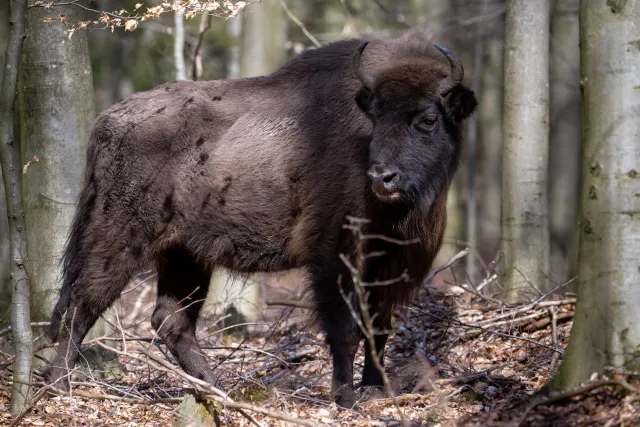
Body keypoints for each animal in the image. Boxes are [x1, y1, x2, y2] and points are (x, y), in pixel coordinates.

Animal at [46, 32, 476, 408]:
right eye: (378, 116)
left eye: (428, 119)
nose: (382, 177)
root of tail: (108, 123)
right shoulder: (334, 259)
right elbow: (346, 331)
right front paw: (346, 399)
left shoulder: (387, 266)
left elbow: (379, 329)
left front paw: (378, 390)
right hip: (118, 238)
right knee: (82, 305)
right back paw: (57, 388)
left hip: (185, 255)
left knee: (171, 320)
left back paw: (219, 391)